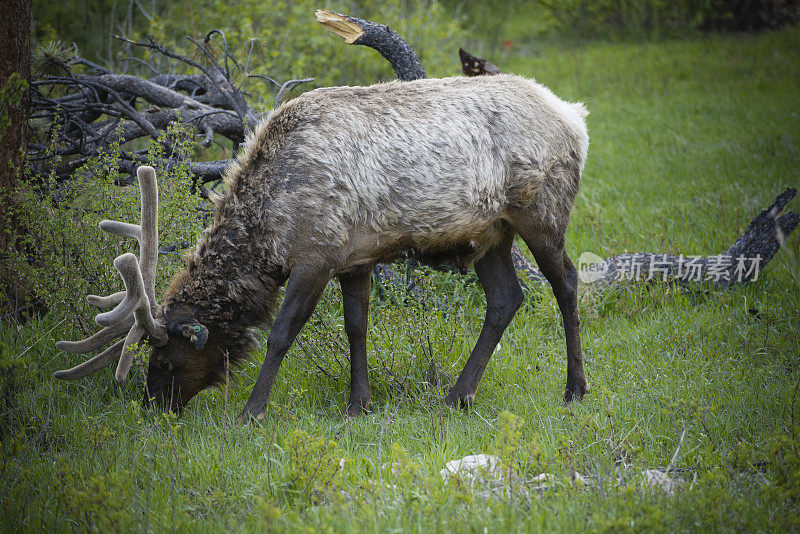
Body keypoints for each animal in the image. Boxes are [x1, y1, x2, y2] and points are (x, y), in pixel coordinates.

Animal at [54, 74, 588, 422]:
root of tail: (575, 119)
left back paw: (574, 390)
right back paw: (458, 395)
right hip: (491, 232)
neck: (268, 229)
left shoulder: (317, 253)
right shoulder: (356, 256)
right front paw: (358, 404)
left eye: (165, 361)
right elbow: (357, 327)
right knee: (506, 299)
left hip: (541, 211)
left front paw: (251, 411)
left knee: (566, 281)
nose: (153, 409)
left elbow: (281, 332)